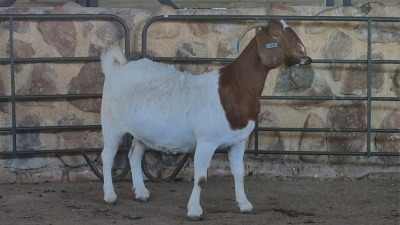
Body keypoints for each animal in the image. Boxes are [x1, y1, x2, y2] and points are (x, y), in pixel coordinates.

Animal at [100, 19, 312, 220]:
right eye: (275, 34)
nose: (304, 54)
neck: (235, 88)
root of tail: (116, 69)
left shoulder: (239, 141)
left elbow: (239, 173)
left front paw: (244, 205)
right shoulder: (206, 141)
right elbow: (201, 177)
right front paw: (194, 211)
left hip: (141, 132)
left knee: (134, 155)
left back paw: (141, 193)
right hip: (111, 124)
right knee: (107, 155)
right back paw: (110, 196)